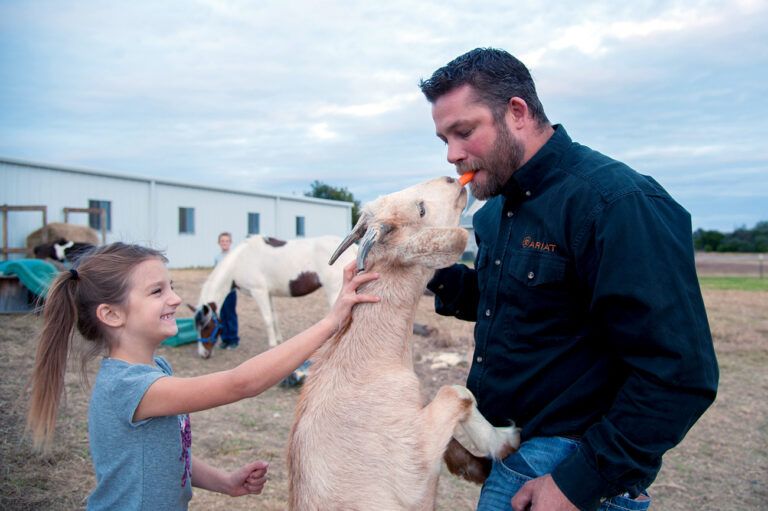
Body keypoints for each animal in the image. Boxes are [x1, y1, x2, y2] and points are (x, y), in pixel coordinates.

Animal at [195, 236, 356, 360]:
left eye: (207, 326)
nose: (203, 354)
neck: (239, 261)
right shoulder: (268, 294)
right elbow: (274, 317)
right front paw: (278, 340)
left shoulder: (258, 292)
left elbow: (267, 319)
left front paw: (271, 345)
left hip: (334, 291)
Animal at [288, 177, 520, 511]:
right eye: (421, 209)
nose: (453, 179)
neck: (371, 362)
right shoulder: (412, 466)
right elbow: (457, 392)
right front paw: (504, 441)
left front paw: (476, 466)